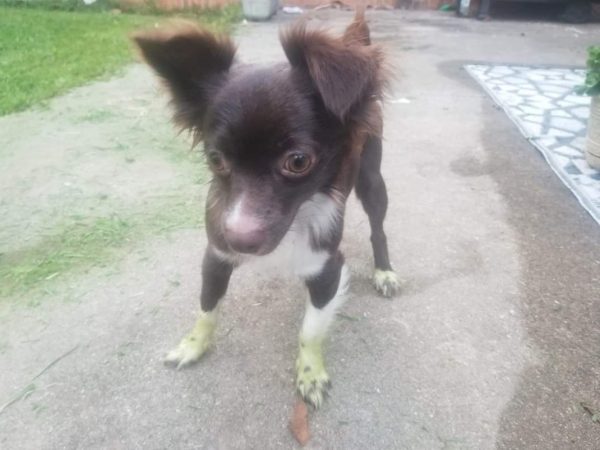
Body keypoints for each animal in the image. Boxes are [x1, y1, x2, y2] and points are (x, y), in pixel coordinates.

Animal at [134, 10, 400, 410]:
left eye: (298, 161)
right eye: (216, 159)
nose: (241, 241)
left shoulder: (327, 267)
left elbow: (311, 329)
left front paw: (310, 373)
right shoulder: (216, 254)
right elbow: (206, 307)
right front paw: (193, 345)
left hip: (372, 180)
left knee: (378, 228)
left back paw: (384, 271)